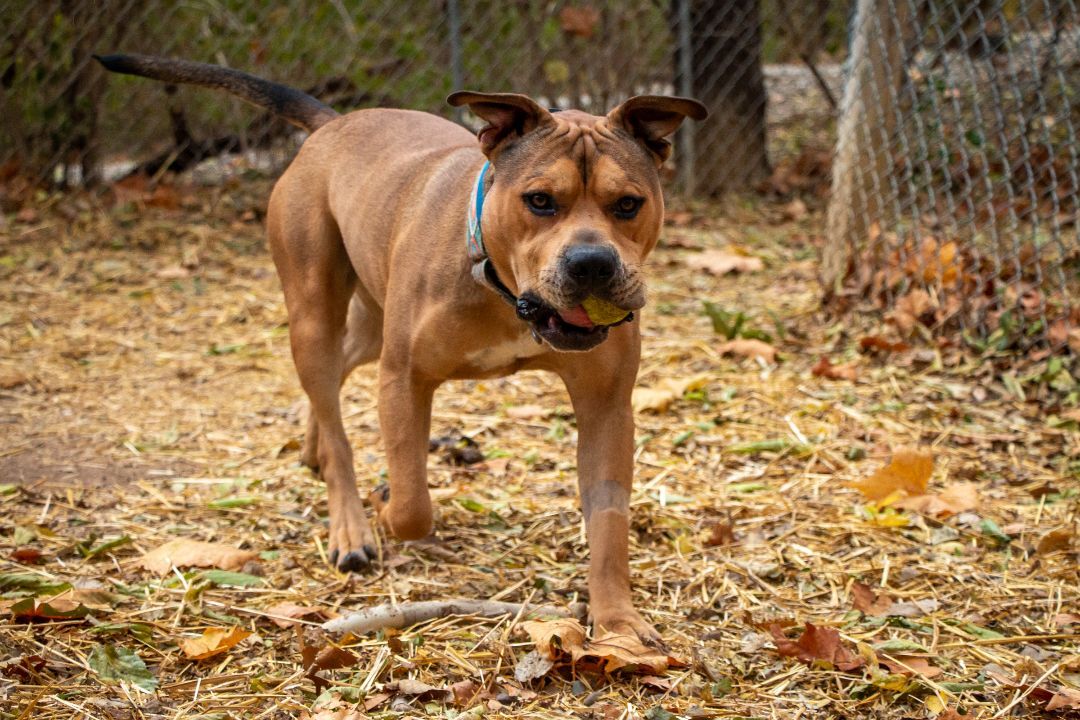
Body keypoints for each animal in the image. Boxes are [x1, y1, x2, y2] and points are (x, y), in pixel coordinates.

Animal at [97, 56, 704, 643]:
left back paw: (312, 447)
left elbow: (609, 525)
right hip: (313, 311)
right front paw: (386, 505)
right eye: (539, 201)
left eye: (628, 204)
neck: (502, 289)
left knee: (337, 374)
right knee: (336, 420)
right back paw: (349, 523)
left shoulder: (606, 407)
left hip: (370, 320)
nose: (592, 263)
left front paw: (618, 622)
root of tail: (333, 122)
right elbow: (413, 505)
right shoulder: (404, 379)